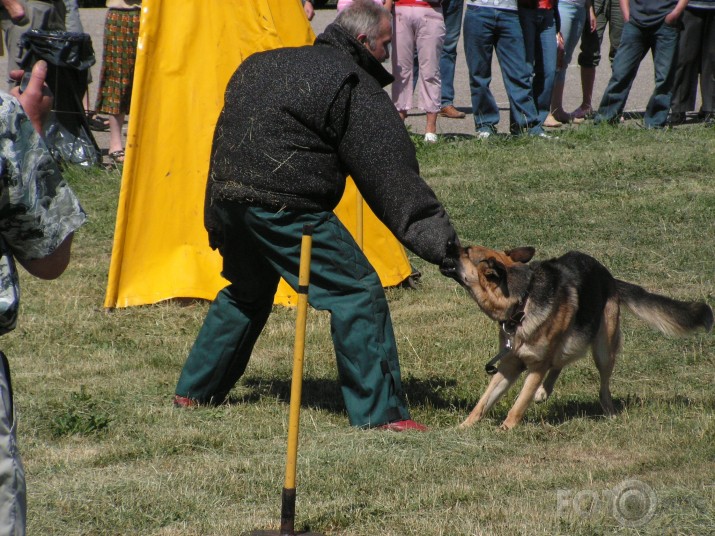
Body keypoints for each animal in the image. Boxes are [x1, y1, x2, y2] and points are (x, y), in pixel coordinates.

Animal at [440, 244, 712, 432]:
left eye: (465, 251)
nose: (449, 244)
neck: (522, 301)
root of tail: (608, 276)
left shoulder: (535, 366)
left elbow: (519, 404)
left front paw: (505, 429)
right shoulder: (509, 365)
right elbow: (483, 403)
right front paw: (462, 428)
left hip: (603, 348)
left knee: (601, 384)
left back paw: (609, 411)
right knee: (560, 362)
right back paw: (544, 392)